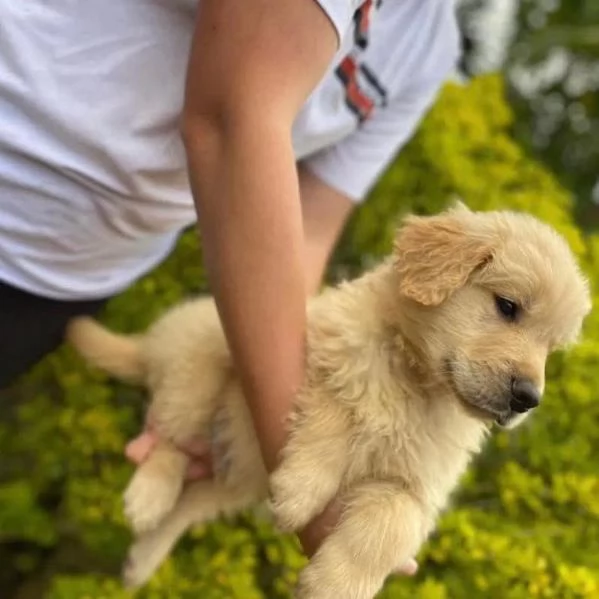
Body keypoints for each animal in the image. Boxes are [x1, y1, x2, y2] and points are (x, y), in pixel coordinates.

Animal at [65, 204, 592, 596]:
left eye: (551, 349)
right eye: (507, 307)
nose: (528, 398)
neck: (417, 381)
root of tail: (152, 344)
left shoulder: (418, 489)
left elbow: (389, 526)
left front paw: (334, 585)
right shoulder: (326, 357)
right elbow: (338, 412)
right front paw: (301, 490)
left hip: (232, 479)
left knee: (189, 502)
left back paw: (141, 560)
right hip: (200, 361)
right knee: (170, 440)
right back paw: (146, 497)